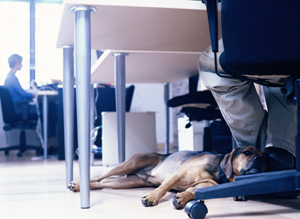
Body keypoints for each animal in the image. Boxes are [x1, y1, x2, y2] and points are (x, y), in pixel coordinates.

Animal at [68, 145, 268, 209]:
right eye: (248, 152)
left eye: (266, 157)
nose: (259, 160)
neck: (217, 172)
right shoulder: (177, 174)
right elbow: (163, 188)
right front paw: (151, 198)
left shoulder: (204, 186)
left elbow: (192, 192)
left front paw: (181, 198)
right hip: (129, 164)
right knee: (99, 177)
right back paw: (77, 184)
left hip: (127, 182)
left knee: (102, 183)